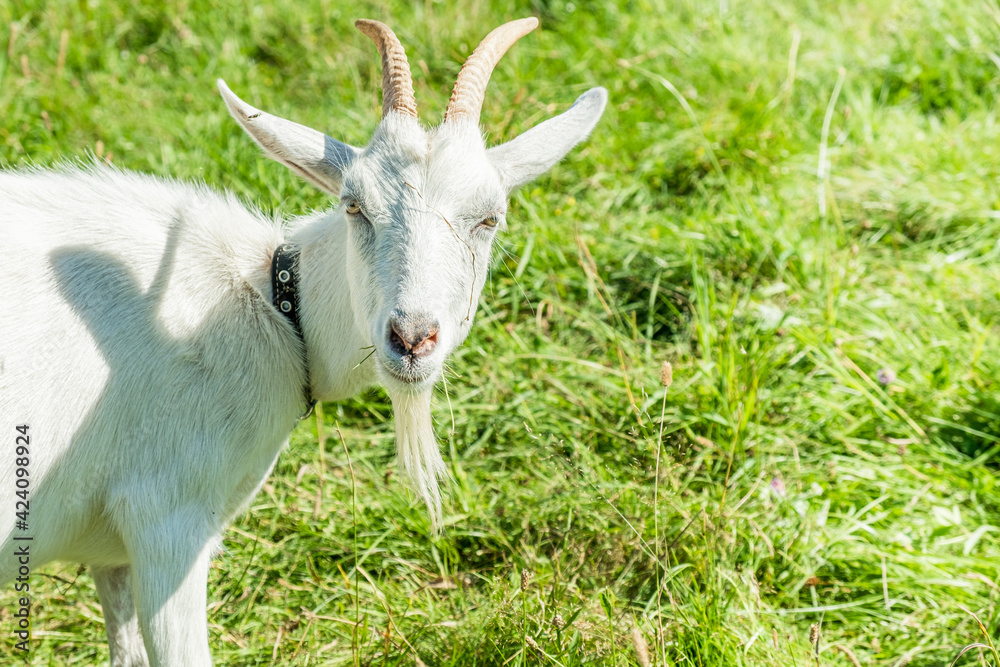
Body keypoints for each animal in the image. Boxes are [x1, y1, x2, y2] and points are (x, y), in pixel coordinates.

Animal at [0, 18, 606, 665]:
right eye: (354, 205)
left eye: (490, 218)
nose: (411, 338)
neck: (271, 304)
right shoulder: (167, 518)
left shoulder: (112, 553)